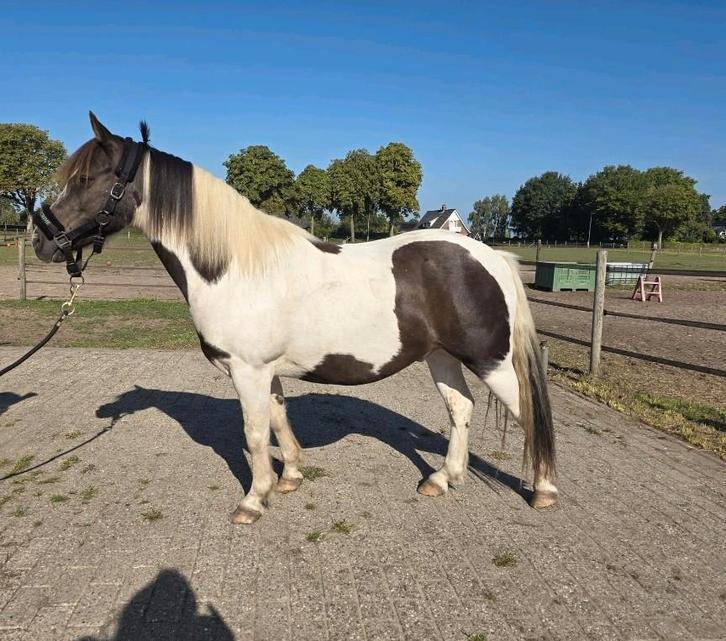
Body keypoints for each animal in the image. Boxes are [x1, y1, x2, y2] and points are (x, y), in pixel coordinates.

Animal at [32, 113, 557, 524]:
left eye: (86, 180)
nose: (42, 241)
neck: (232, 267)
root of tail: (490, 256)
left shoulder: (246, 371)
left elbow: (253, 432)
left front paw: (253, 500)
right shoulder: (267, 372)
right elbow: (279, 420)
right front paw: (290, 477)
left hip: (490, 361)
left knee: (526, 413)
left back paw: (544, 491)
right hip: (441, 357)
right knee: (460, 409)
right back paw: (443, 478)